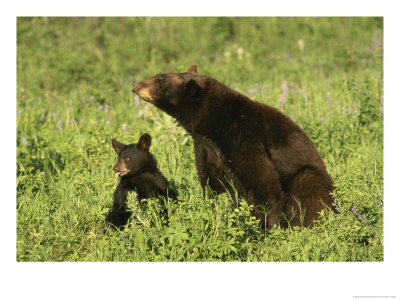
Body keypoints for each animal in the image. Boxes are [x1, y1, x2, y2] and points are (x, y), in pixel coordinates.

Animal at [132, 63, 334, 227]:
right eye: (159, 75)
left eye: (160, 80)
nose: (135, 86)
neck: (214, 120)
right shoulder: (206, 147)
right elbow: (215, 181)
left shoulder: (243, 135)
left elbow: (261, 178)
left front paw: (271, 225)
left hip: (311, 178)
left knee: (308, 183)